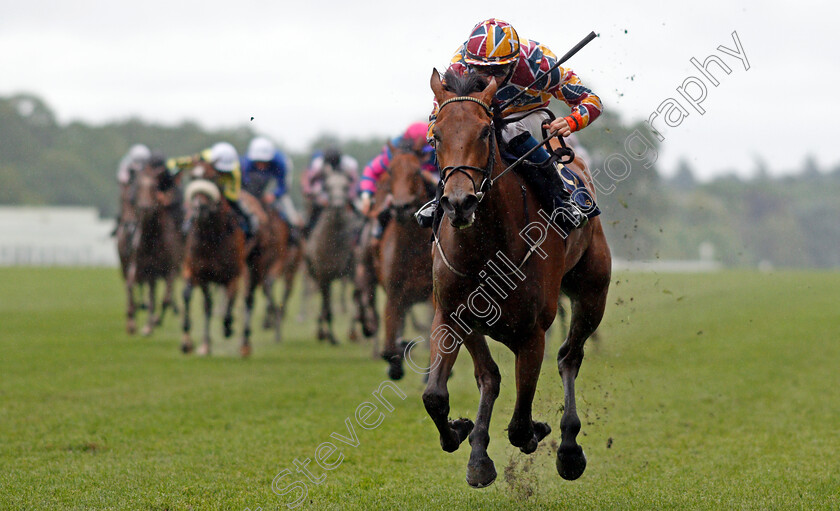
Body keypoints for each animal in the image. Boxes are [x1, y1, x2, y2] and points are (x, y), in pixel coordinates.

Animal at [118, 163, 182, 336]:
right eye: (138, 186)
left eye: (154, 187)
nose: (145, 208)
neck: (152, 238)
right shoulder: (140, 267)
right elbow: (132, 286)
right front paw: (134, 322)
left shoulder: (170, 269)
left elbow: (165, 299)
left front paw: (155, 321)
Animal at [420, 70, 612, 490]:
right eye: (436, 134)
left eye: (484, 132)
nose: (458, 203)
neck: (485, 247)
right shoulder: (451, 314)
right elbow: (436, 396)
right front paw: (461, 433)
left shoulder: (532, 332)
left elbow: (521, 424)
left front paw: (541, 432)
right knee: (489, 376)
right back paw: (477, 452)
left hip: (592, 293)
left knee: (569, 356)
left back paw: (568, 448)